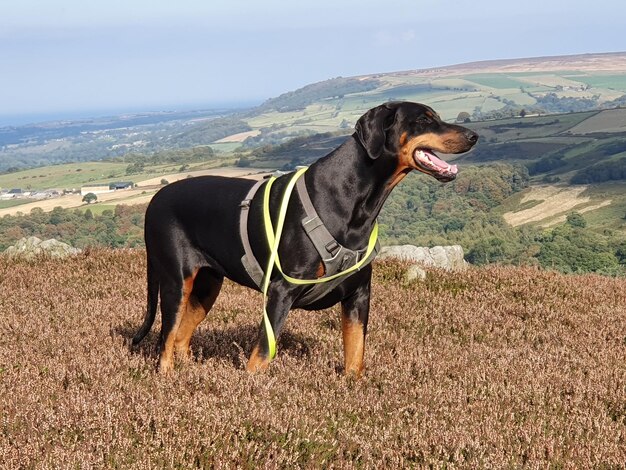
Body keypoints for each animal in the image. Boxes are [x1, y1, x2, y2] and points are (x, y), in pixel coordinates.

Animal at [130, 101, 472, 376]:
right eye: (424, 120)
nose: (473, 136)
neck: (351, 198)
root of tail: (155, 200)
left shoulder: (359, 294)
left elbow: (355, 353)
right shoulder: (281, 291)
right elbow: (261, 355)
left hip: (207, 285)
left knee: (181, 336)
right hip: (176, 282)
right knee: (166, 338)